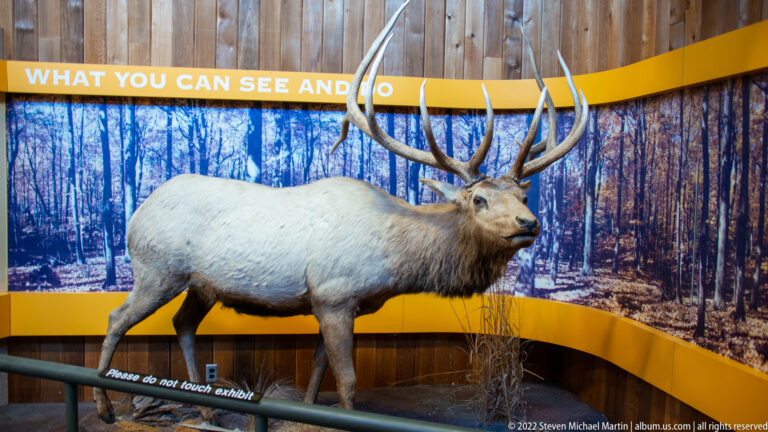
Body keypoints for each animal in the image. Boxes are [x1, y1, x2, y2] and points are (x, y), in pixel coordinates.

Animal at [94, 0, 587, 423]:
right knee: (118, 317)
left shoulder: (329, 302)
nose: (530, 224)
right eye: (479, 199)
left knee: (182, 323)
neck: (396, 261)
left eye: (523, 197)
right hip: (158, 269)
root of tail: (137, 213)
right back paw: (105, 406)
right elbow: (348, 382)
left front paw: (309, 413)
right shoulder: (335, 294)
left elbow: (317, 369)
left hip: (202, 285)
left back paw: (207, 410)